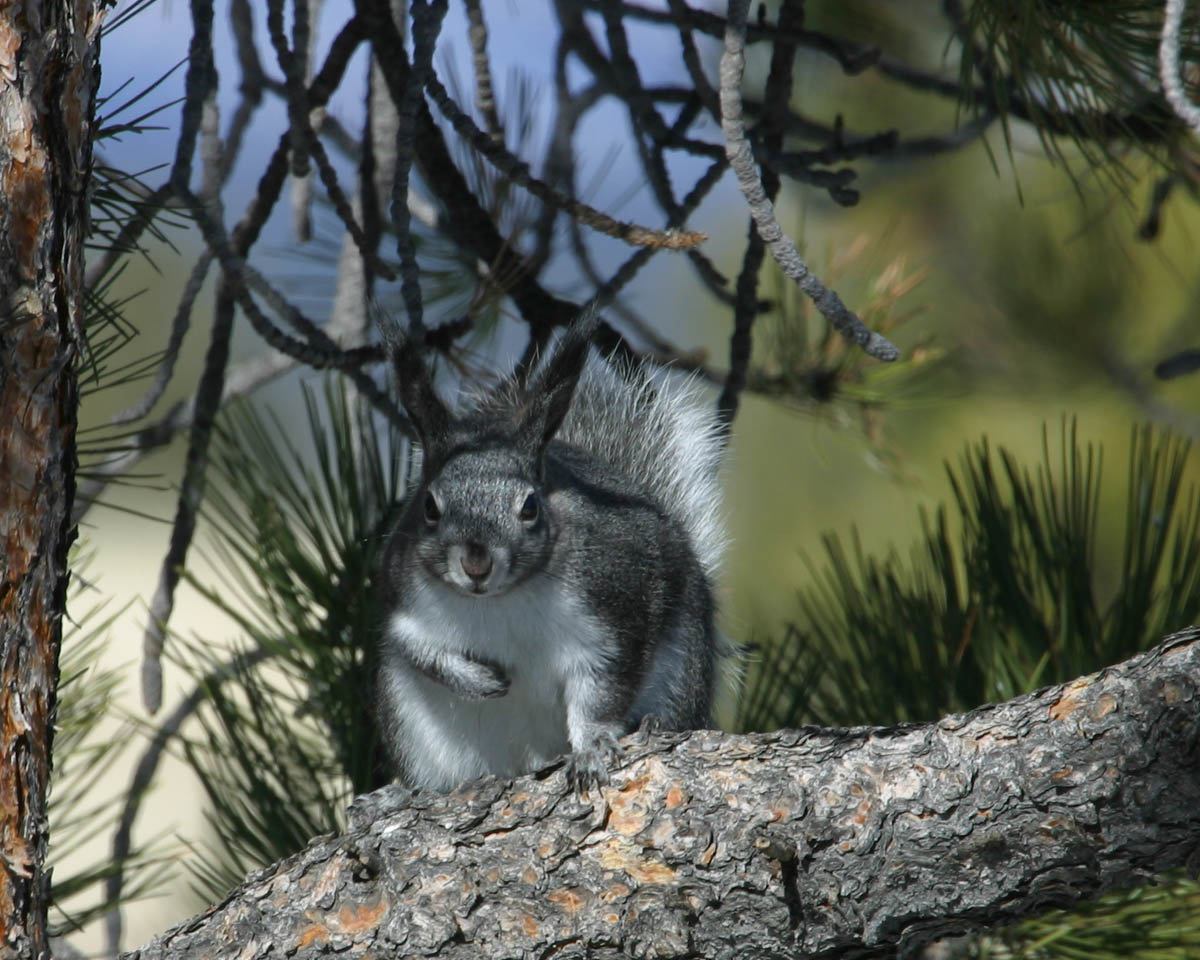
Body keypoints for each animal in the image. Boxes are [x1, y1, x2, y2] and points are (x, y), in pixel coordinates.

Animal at [379, 312, 724, 792]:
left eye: (530, 506)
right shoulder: (404, 600)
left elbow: (600, 695)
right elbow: (420, 650)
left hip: (681, 672)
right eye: (428, 506)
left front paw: (592, 750)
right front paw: (481, 681)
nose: (476, 564)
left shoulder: (614, 609)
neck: (500, 601)